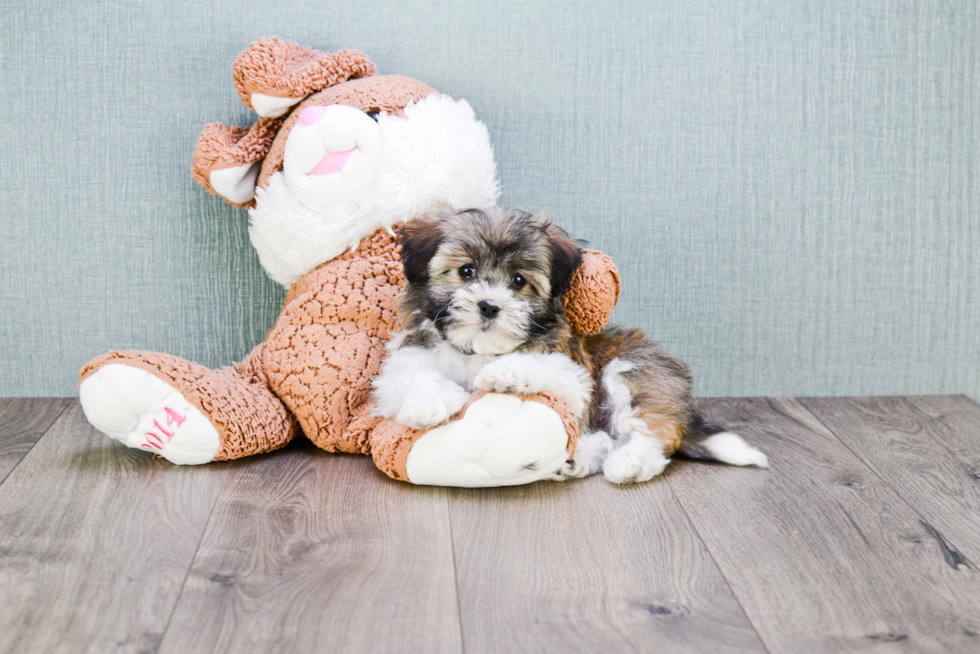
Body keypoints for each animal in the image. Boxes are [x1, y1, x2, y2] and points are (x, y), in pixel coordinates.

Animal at [372, 208, 768, 484]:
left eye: (519, 281)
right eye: (466, 271)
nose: (488, 306)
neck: (481, 349)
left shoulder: (572, 372)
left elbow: (542, 366)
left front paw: (504, 373)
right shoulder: (400, 364)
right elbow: (416, 374)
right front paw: (428, 402)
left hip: (637, 372)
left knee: (652, 433)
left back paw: (630, 463)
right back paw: (576, 460)